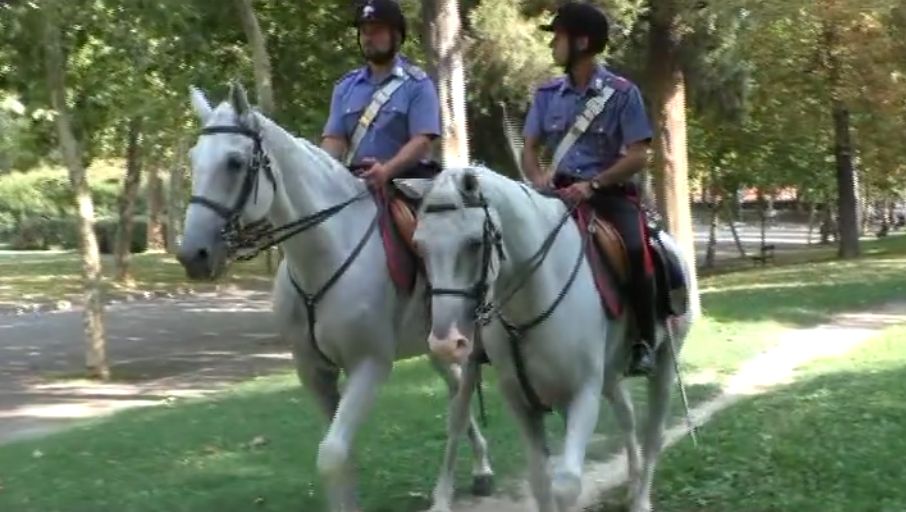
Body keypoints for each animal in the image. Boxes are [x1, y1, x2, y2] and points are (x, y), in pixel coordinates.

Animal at [175, 83, 494, 512]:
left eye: (235, 162)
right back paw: (480, 466)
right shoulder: (313, 372)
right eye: (194, 159)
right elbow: (340, 456)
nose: (192, 254)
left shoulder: (369, 365)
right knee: (456, 389)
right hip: (437, 345)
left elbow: (331, 455)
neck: (325, 253)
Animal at [399, 167, 694, 512]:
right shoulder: (521, 401)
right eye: (419, 246)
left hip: (663, 364)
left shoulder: (583, 393)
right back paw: (632, 484)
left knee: (654, 433)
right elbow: (540, 480)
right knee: (627, 415)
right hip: (608, 374)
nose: (445, 343)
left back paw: (641, 499)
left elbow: (566, 485)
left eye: (474, 243)